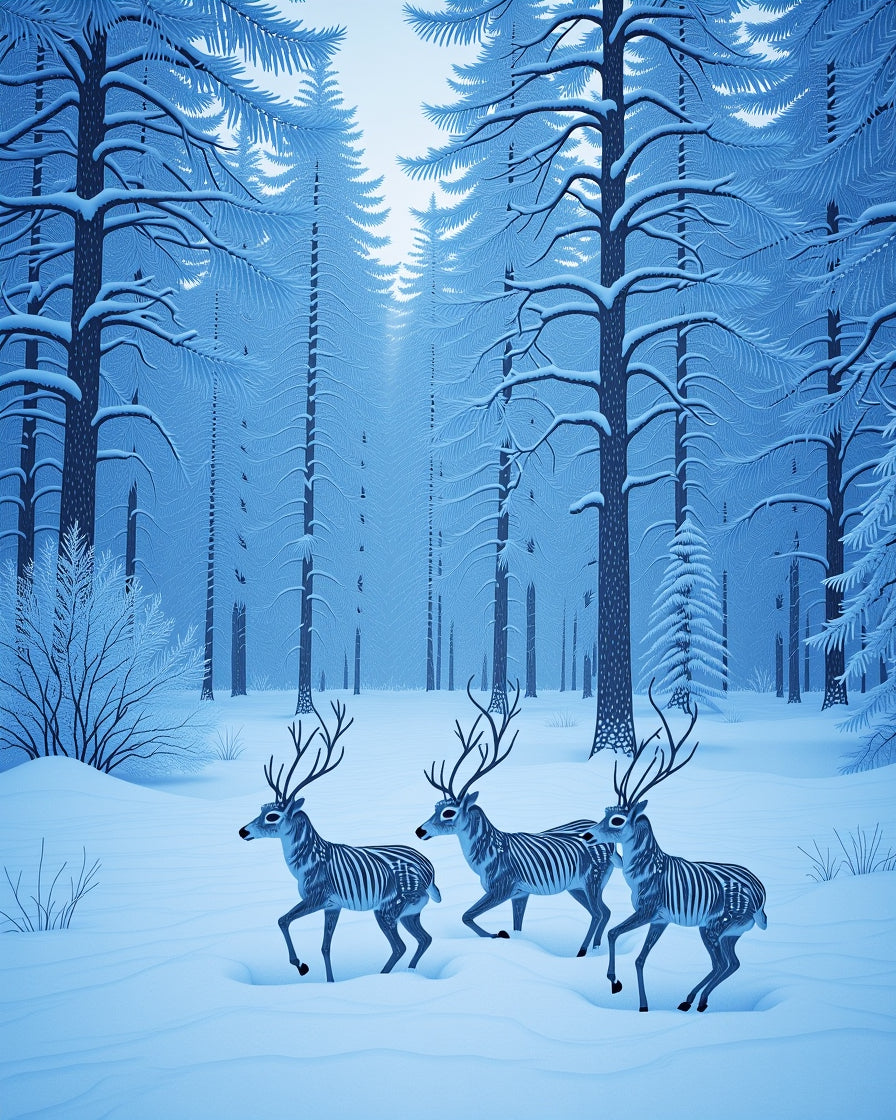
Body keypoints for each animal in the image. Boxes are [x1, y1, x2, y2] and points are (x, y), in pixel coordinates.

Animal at [239, 699, 440, 982]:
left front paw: (300, 964)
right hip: (410, 911)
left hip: (389, 907)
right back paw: (409, 972)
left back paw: (382, 975)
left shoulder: (319, 895)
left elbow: (283, 920)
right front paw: (328, 980)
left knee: (400, 945)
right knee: (424, 938)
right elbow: (325, 946)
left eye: (272, 816)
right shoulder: (332, 905)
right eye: (261, 808)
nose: (243, 831)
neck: (306, 865)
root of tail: (430, 871)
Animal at [415, 680, 618, 955]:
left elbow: (466, 916)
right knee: (605, 911)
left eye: (449, 812)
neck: (487, 858)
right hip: (577, 886)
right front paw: (510, 936)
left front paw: (498, 934)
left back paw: (583, 951)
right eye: (435, 806)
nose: (420, 831)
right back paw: (596, 947)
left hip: (592, 878)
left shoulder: (504, 886)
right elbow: (517, 924)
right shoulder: (520, 893)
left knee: (598, 913)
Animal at [582, 685, 767, 1012]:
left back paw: (693, 1001)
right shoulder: (661, 919)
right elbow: (640, 959)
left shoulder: (649, 910)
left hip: (714, 926)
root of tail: (762, 896)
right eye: (605, 811)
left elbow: (614, 932)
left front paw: (614, 981)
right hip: (732, 932)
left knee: (721, 963)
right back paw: (694, 1000)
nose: (589, 836)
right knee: (732, 963)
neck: (644, 874)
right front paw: (641, 1003)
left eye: (617, 819)